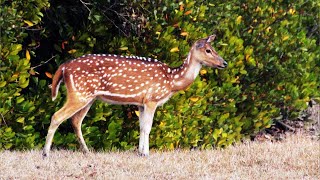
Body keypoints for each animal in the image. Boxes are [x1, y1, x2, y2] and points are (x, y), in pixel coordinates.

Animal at [43, 34, 228, 156]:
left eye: (213, 49)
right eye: (208, 50)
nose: (224, 63)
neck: (172, 81)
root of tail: (64, 67)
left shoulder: (141, 102)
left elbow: (141, 127)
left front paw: (140, 152)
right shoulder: (152, 98)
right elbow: (148, 127)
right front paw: (146, 154)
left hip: (88, 97)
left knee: (75, 120)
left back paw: (87, 152)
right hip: (79, 94)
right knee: (57, 116)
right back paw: (46, 153)